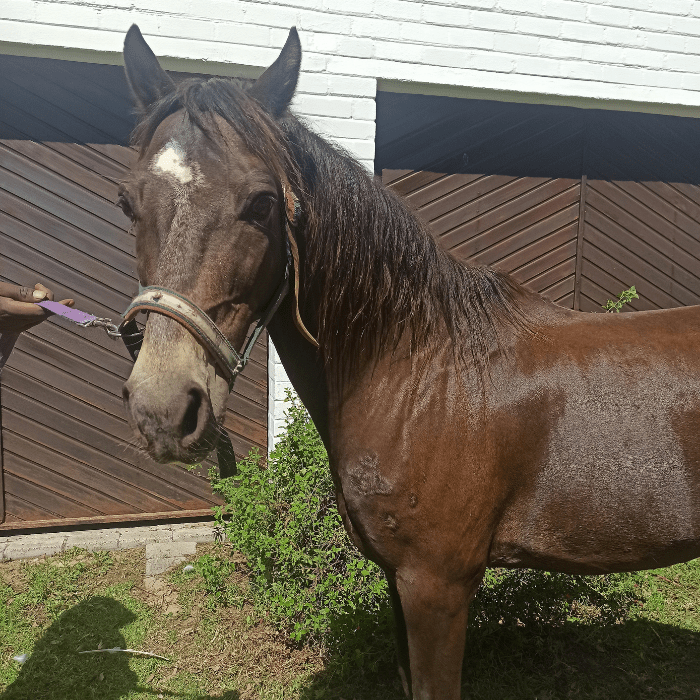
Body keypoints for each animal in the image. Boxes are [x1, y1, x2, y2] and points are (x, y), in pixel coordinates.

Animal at [119, 24, 700, 699]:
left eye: (262, 203)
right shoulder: (399, 581)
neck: (419, 375)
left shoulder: (437, 586)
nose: (163, 408)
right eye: (128, 201)